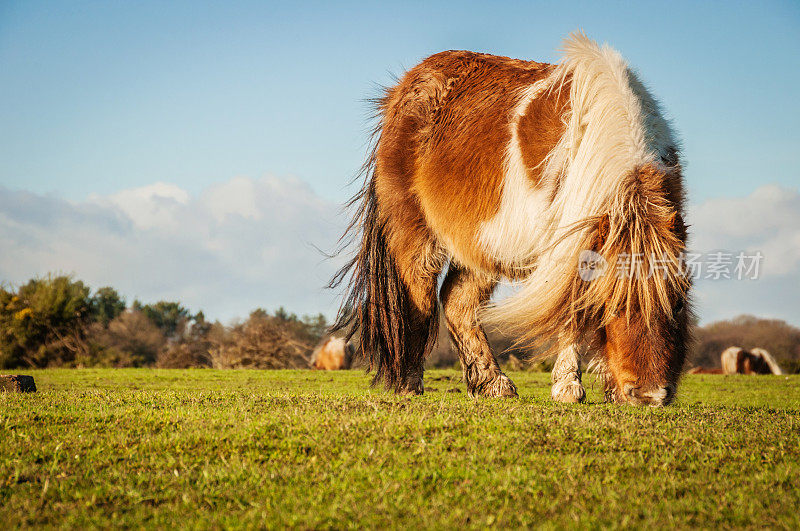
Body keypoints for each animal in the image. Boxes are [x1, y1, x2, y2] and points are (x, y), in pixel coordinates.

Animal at [328, 32, 692, 408]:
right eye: (613, 305)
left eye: (679, 302)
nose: (650, 395)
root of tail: (404, 88)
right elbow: (569, 311)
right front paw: (569, 388)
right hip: (415, 233)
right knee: (419, 296)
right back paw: (410, 383)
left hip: (480, 245)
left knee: (457, 302)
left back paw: (492, 383)